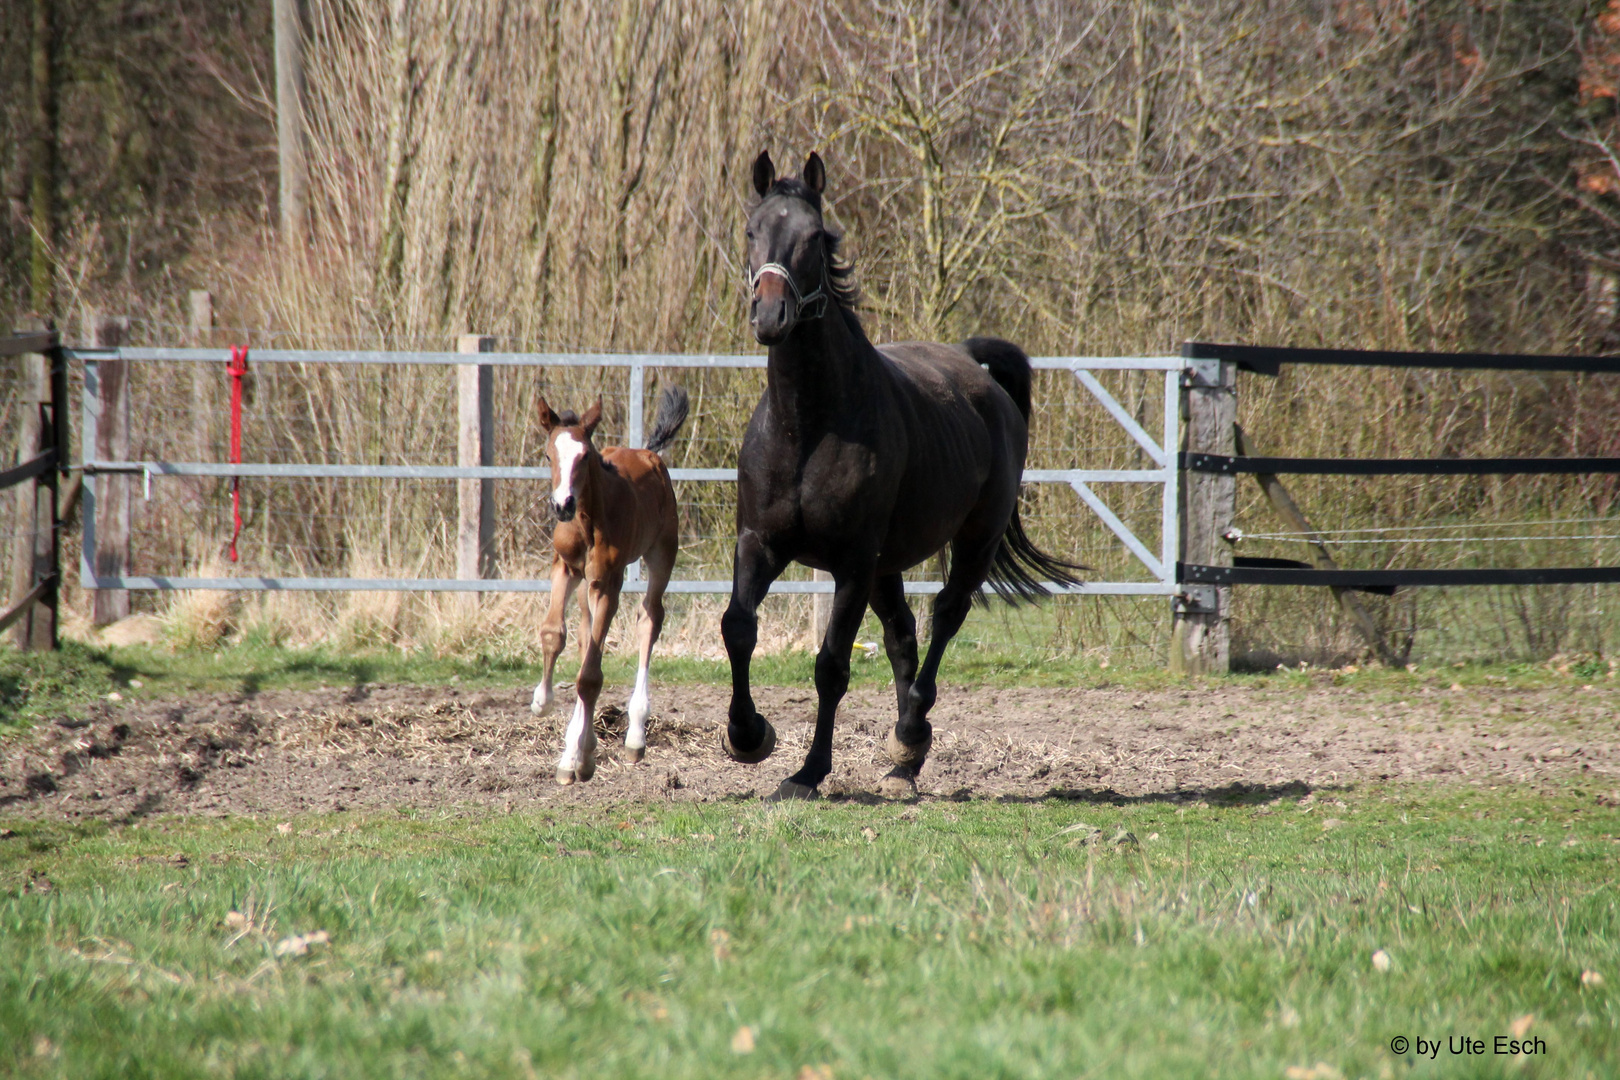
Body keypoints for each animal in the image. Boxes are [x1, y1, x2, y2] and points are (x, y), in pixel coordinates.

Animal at [531, 388, 683, 786]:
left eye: (585, 456)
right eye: (548, 454)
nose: (562, 505)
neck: (587, 520)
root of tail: (649, 452)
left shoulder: (608, 583)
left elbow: (589, 676)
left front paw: (581, 760)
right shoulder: (566, 568)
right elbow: (554, 633)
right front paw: (542, 702)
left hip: (662, 552)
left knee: (650, 619)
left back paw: (634, 737)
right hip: (586, 585)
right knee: (587, 638)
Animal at [719, 149, 1075, 803]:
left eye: (814, 236)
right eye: (752, 231)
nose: (771, 315)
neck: (807, 425)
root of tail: (978, 374)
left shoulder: (852, 565)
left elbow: (831, 665)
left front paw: (808, 773)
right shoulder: (760, 544)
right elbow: (738, 627)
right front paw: (748, 736)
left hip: (971, 542)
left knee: (945, 617)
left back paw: (910, 736)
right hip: (887, 565)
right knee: (903, 637)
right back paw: (904, 761)